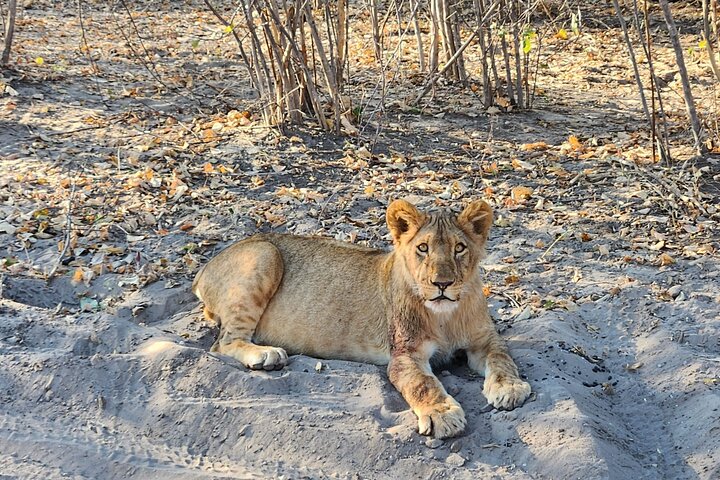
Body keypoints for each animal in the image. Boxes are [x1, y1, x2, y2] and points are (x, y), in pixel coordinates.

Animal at [192, 199, 531, 438]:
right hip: (264, 254)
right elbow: (424, 384)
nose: (442, 284)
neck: (445, 316)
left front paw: (510, 388)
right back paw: (267, 356)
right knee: (223, 343)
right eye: (423, 248)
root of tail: (203, 269)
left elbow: (503, 359)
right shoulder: (405, 355)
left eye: (459, 248)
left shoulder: (485, 340)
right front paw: (442, 414)